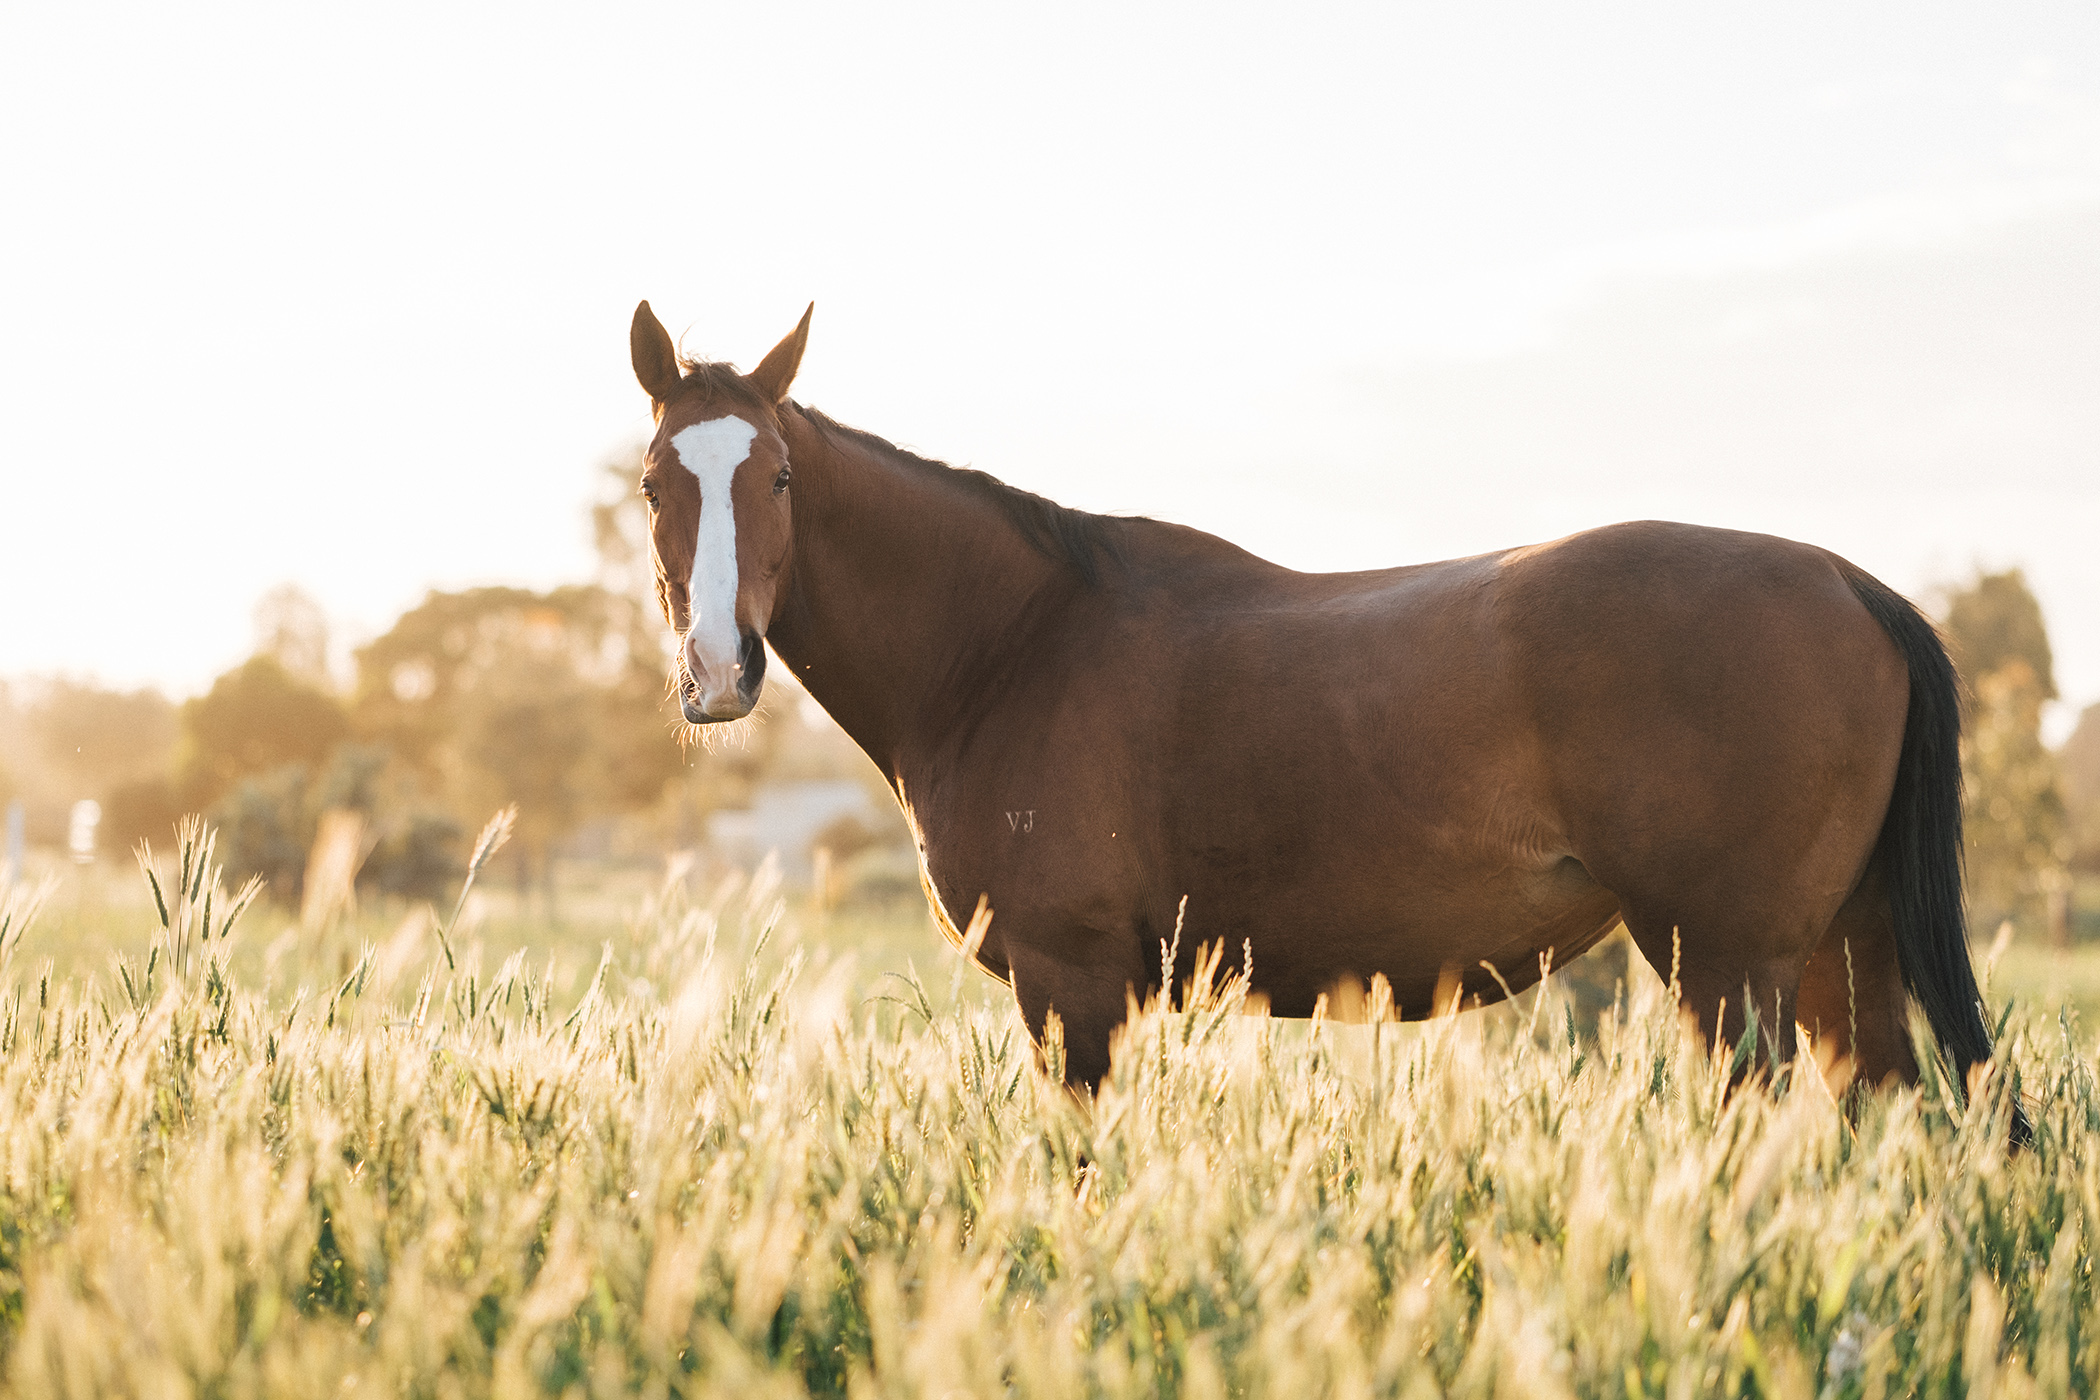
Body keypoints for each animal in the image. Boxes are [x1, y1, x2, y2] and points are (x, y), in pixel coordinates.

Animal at [630, 298, 2007, 1125]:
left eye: (779, 476)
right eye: (656, 481)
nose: (718, 670)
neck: (1010, 644)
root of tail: (1852, 582)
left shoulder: (1072, 987)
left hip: (1731, 970)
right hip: (1835, 956)